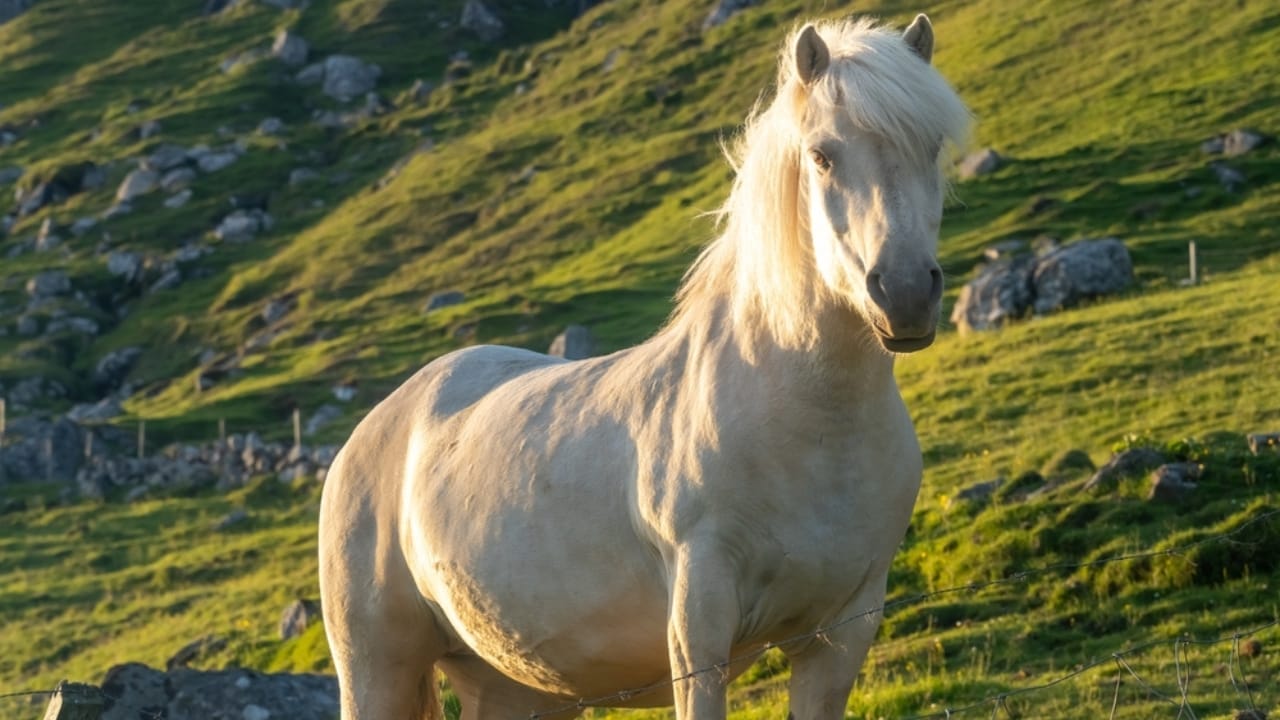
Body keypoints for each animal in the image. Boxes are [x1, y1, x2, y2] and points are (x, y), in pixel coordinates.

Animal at [319, 13, 969, 720]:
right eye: (822, 155)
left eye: (932, 147)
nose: (905, 293)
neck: (806, 424)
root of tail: (370, 432)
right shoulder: (699, 629)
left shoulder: (842, 634)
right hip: (375, 670)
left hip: (512, 685)